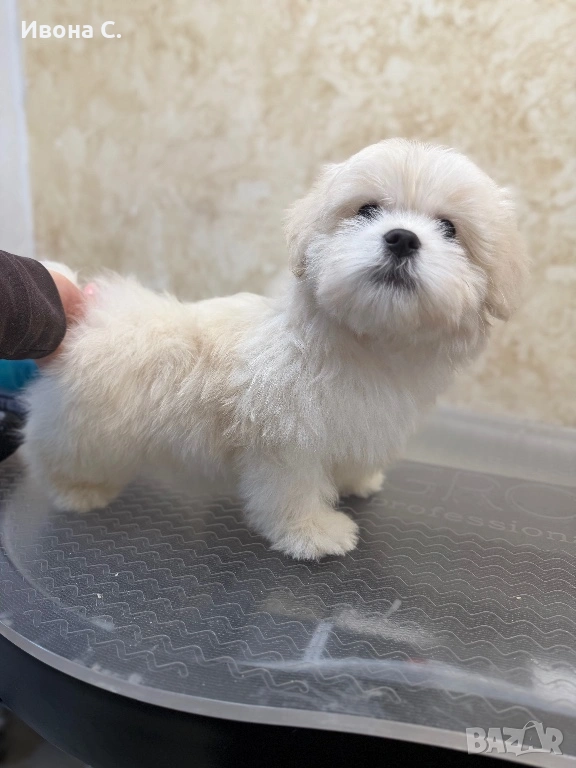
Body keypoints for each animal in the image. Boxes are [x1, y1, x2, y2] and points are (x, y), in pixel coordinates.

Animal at [22, 139, 528, 560]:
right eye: (367, 209)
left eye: (449, 228)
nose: (402, 237)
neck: (366, 345)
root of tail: (92, 312)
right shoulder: (286, 441)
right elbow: (292, 492)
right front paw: (313, 533)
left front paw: (356, 481)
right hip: (86, 428)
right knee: (53, 454)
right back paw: (78, 492)